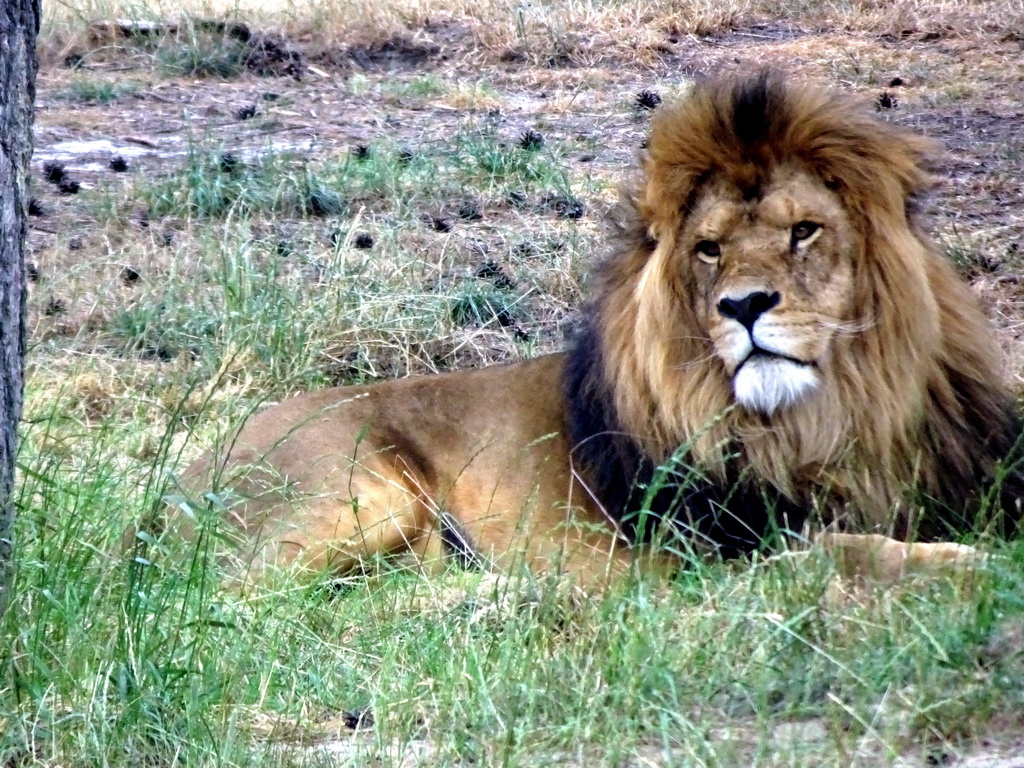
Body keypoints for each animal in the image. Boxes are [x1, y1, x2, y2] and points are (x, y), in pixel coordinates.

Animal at [167, 72, 1024, 589]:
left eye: (804, 231)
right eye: (709, 248)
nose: (743, 306)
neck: (829, 414)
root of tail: (169, 493)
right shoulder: (715, 555)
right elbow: (850, 550)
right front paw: (977, 569)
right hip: (358, 492)